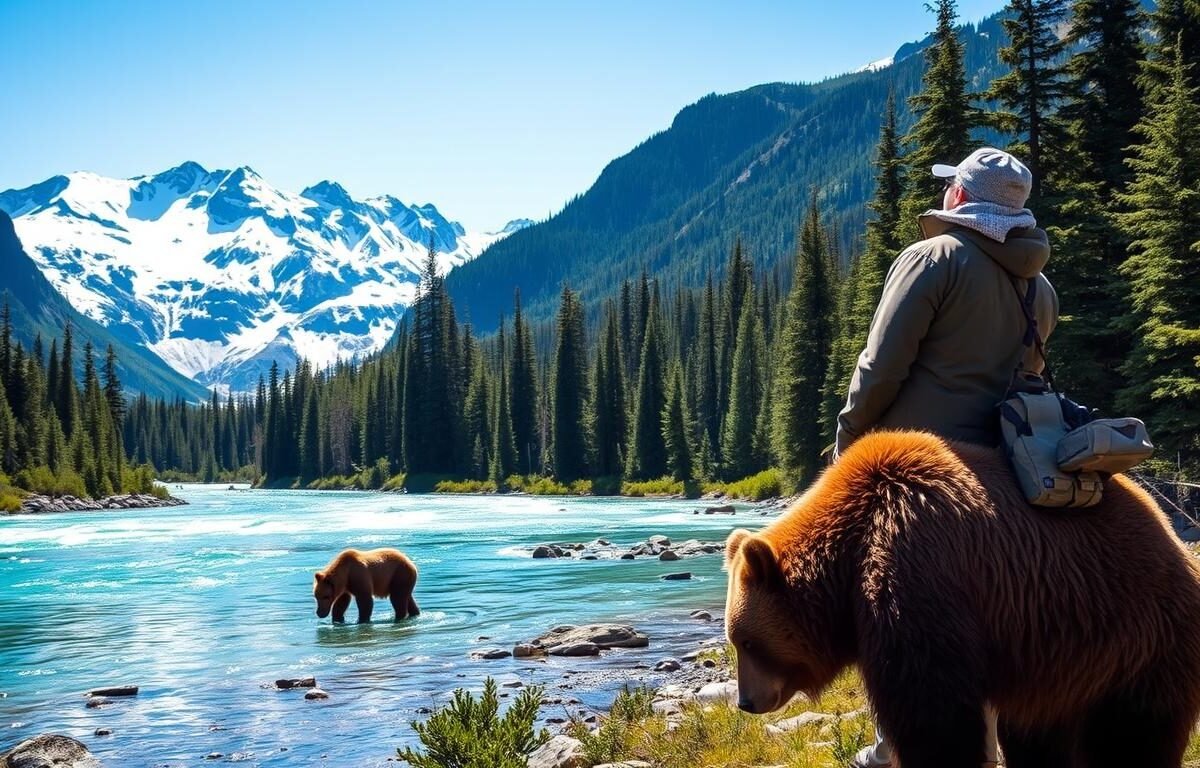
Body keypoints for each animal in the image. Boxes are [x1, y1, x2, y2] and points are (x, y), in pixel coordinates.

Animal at [724, 430, 1200, 768]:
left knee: (1132, 734)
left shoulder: (919, 570)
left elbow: (933, 709)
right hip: (1060, 661)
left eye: (747, 641)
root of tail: (1175, 538)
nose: (746, 702)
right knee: (1040, 729)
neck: (850, 551)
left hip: (1137, 638)